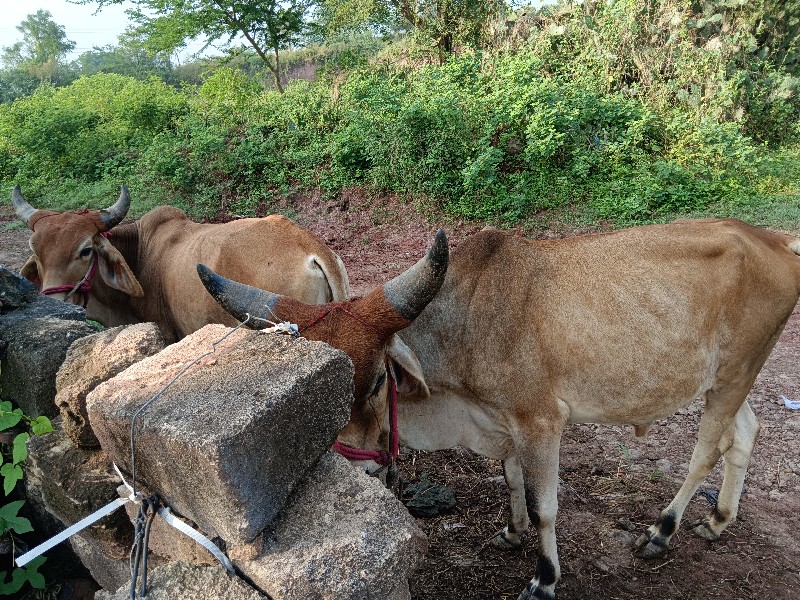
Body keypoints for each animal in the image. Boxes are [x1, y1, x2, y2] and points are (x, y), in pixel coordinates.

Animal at [197, 219, 800, 600]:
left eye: (376, 381)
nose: (358, 471)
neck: (469, 322)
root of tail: (772, 238)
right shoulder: (503, 424)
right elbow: (510, 478)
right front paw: (511, 531)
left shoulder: (542, 423)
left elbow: (546, 507)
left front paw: (544, 578)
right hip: (730, 379)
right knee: (745, 432)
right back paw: (719, 519)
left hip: (733, 375)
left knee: (705, 451)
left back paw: (661, 531)